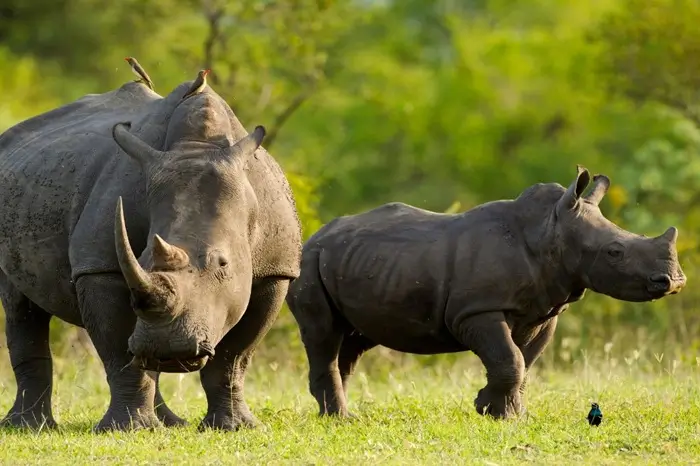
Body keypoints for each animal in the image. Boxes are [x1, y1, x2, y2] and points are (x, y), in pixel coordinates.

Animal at [0, 74, 301, 431]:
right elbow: (120, 352)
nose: (170, 348)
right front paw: (127, 429)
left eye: (223, 263)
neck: (198, 148)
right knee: (20, 307)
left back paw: (171, 422)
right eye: (141, 258)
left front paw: (235, 427)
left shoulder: (275, 270)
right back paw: (29, 427)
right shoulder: (99, 267)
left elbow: (234, 358)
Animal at [286, 166, 686, 419]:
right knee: (323, 334)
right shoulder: (476, 310)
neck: (550, 232)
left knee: (351, 341)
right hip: (309, 264)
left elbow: (524, 362)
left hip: (356, 262)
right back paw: (341, 419)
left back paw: (339, 414)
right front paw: (497, 414)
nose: (674, 281)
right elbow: (510, 360)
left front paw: (506, 413)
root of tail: (314, 236)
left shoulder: (543, 312)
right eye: (615, 252)